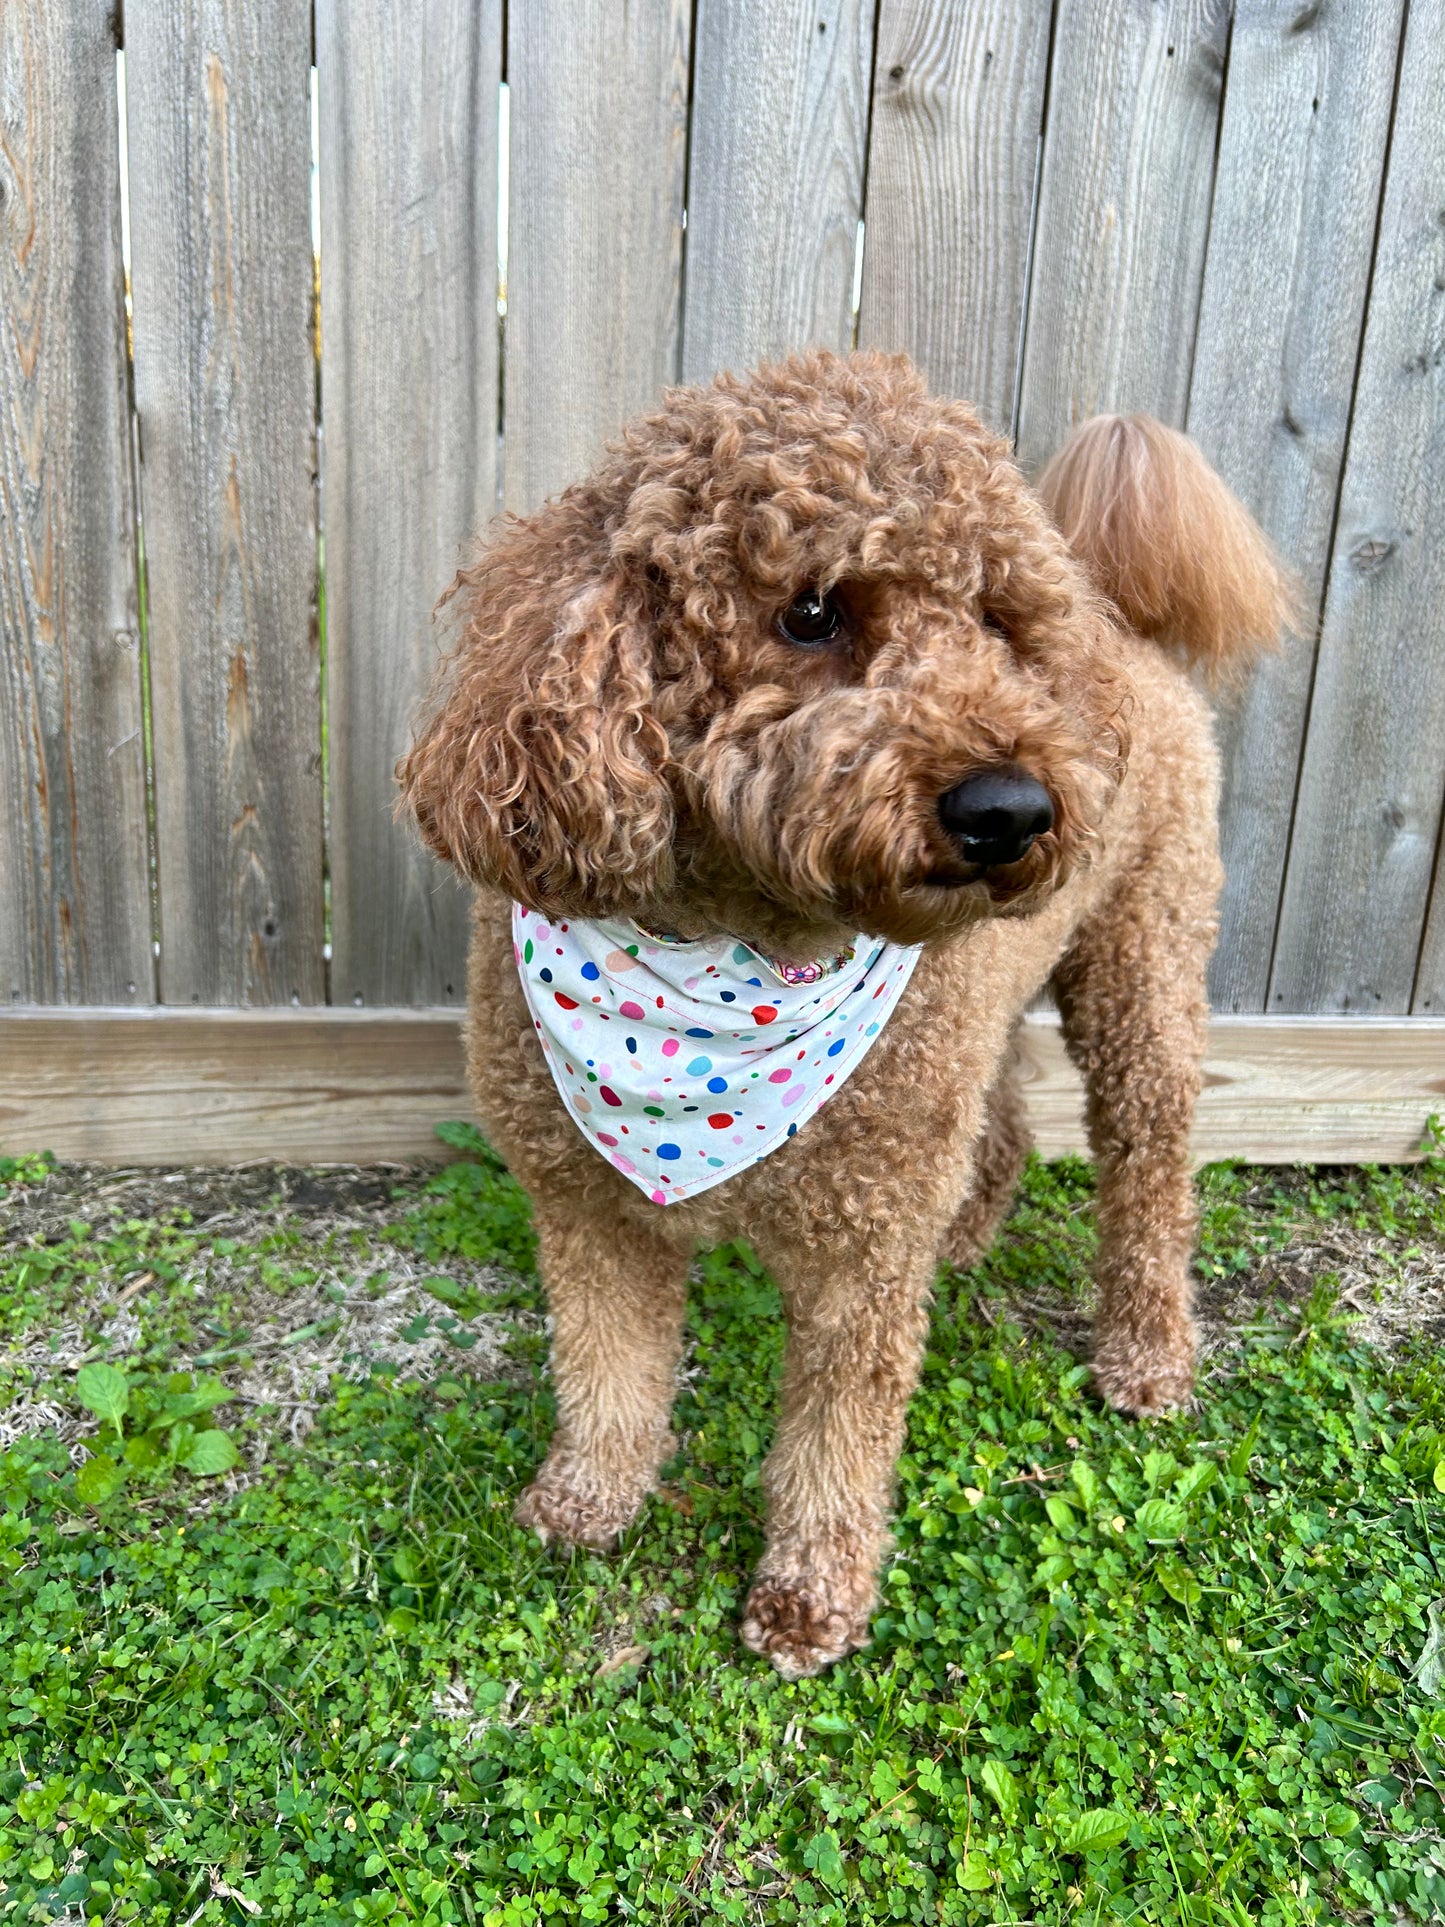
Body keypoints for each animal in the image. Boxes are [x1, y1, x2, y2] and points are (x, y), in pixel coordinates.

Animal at [402, 354, 1294, 1680]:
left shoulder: (860, 1264)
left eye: (995, 625)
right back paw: (969, 1234)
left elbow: (837, 1433)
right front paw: (586, 1500)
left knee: (1147, 1171)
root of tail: (1129, 638)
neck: (726, 954)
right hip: (985, 1012)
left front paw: (808, 1597)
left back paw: (1144, 1354)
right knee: (1000, 1122)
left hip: (1140, 969)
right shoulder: (587, 1210)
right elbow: (607, 1371)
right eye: (810, 612)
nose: (1008, 808)